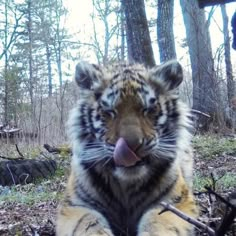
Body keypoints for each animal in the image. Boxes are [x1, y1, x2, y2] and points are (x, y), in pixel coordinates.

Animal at [56, 60, 198, 235]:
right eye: (109, 111)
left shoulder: (175, 201)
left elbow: (158, 222)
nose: (131, 147)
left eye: (149, 110)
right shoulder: (75, 205)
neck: (126, 186)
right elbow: (87, 223)